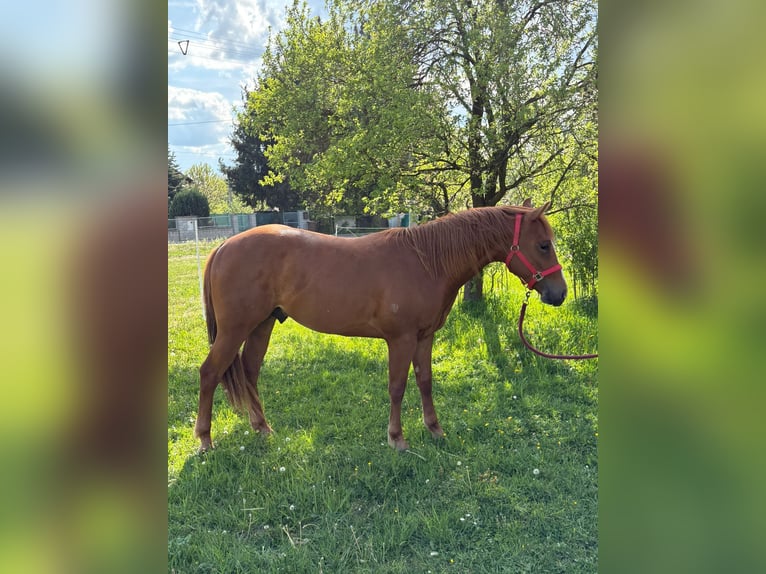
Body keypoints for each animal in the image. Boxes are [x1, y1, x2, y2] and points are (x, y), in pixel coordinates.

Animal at [194, 200, 567, 452]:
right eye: (543, 244)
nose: (559, 293)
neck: (426, 262)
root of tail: (224, 247)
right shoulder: (400, 339)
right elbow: (397, 387)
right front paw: (397, 438)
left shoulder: (424, 338)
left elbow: (425, 382)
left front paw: (434, 429)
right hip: (235, 329)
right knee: (210, 372)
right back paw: (205, 440)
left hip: (262, 324)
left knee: (250, 371)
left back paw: (263, 429)